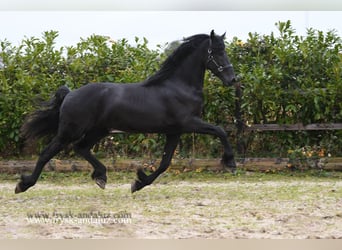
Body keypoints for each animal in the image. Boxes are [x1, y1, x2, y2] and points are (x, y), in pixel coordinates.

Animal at [15, 29, 235, 193]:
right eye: (216, 51)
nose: (233, 79)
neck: (179, 87)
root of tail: (70, 93)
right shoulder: (189, 122)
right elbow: (220, 131)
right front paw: (230, 162)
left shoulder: (174, 131)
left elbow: (165, 163)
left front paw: (138, 183)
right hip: (70, 131)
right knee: (47, 153)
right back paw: (24, 184)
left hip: (99, 130)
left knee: (81, 148)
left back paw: (101, 177)